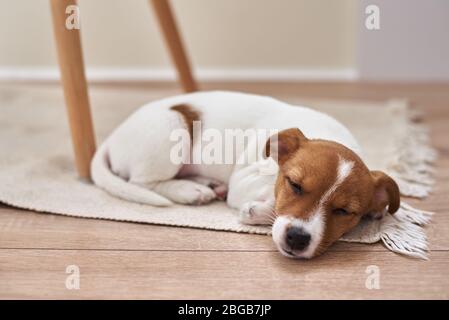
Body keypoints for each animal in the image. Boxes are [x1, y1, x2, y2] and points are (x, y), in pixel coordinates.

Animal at [92, 89, 400, 258]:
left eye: (344, 212)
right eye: (294, 185)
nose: (298, 239)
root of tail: (113, 136)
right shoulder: (245, 180)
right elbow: (268, 195)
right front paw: (259, 210)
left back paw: (207, 184)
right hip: (171, 131)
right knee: (145, 182)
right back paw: (191, 191)